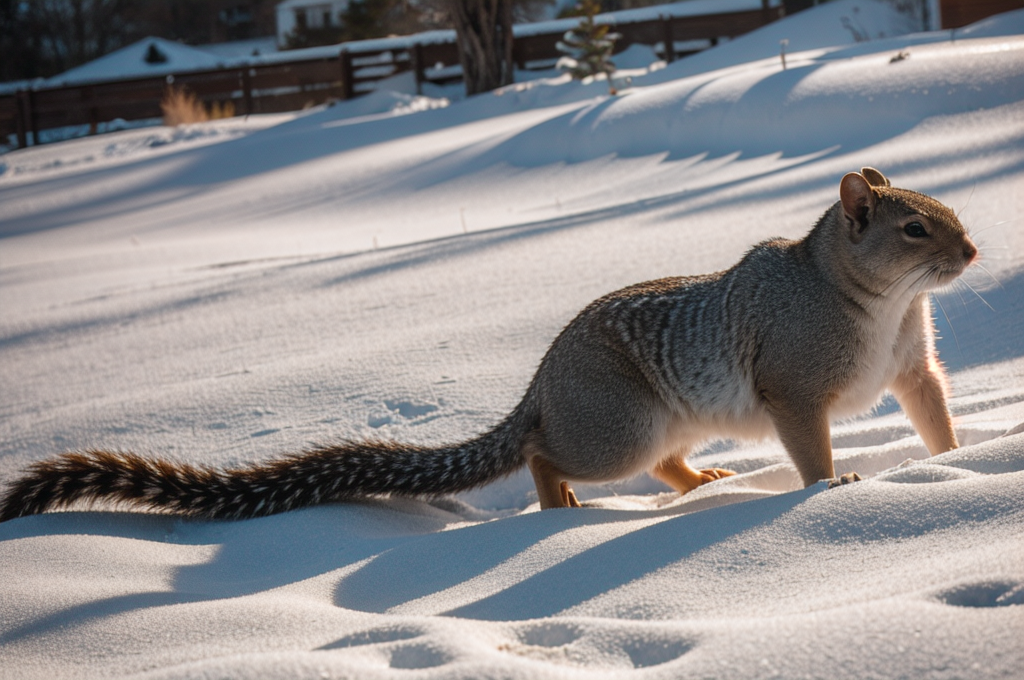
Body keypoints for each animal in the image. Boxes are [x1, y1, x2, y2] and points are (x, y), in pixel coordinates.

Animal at [0, 168, 974, 520]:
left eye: (946, 213)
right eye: (912, 229)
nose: (971, 252)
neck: (875, 305)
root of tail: (540, 386)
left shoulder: (913, 364)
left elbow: (933, 413)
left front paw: (963, 458)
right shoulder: (793, 384)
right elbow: (808, 445)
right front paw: (833, 486)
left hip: (655, 429)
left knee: (663, 463)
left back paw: (701, 480)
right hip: (613, 430)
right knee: (547, 451)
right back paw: (557, 499)